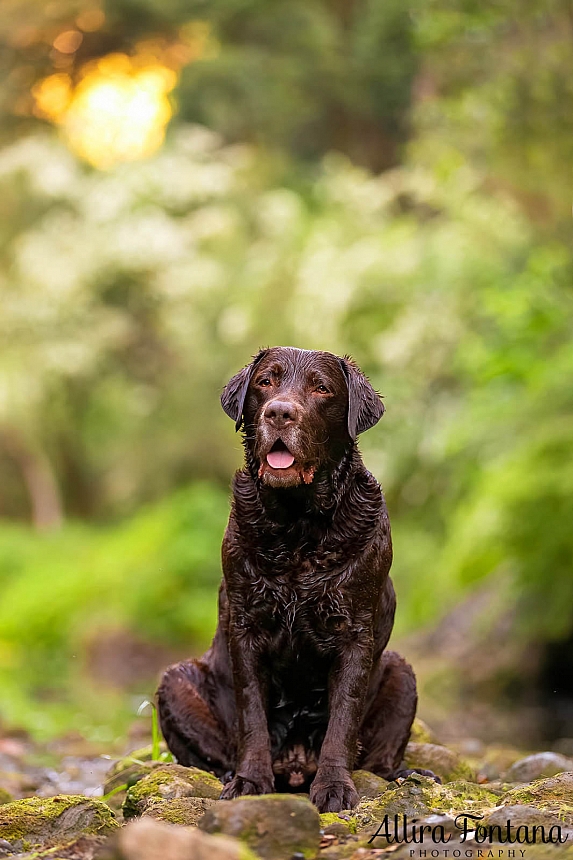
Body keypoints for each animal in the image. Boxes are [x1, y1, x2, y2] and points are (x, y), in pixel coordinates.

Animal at [156, 344, 424, 812]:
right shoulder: (246, 627)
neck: (298, 528)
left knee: (380, 758)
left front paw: (334, 787)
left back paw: (403, 776)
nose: (280, 413)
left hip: (400, 672)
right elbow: (252, 714)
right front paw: (249, 781)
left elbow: (343, 718)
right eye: (266, 382)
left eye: (322, 388)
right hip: (175, 681)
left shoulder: (354, 633)